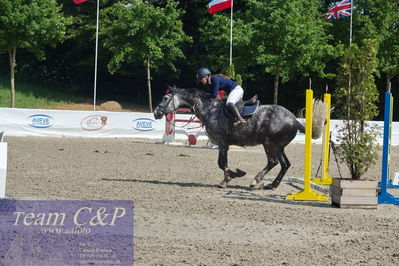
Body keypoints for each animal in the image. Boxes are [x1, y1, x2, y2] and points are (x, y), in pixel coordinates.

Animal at [155, 87, 326, 189]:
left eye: (165, 98)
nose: (156, 113)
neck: (209, 109)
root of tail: (294, 119)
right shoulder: (224, 144)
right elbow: (222, 163)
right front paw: (234, 174)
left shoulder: (222, 143)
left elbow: (221, 163)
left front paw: (227, 179)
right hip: (279, 146)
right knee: (285, 164)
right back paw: (272, 185)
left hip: (268, 143)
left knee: (273, 162)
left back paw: (255, 180)